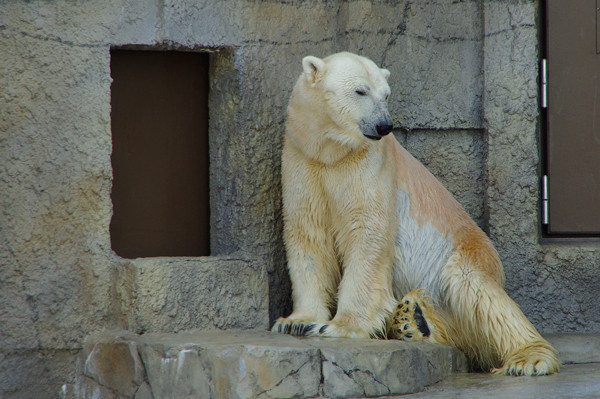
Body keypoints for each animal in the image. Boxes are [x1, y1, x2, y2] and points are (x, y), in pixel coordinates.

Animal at [274, 51, 560, 376]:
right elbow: (307, 233)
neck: (331, 152)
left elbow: (367, 233)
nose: (384, 125)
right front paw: (297, 321)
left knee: (478, 294)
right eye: (360, 91)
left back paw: (528, 358)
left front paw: (341, 326)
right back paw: (412, 321)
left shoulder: (369, 165)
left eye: (386, 94)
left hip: (465, 253)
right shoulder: (303, 161)